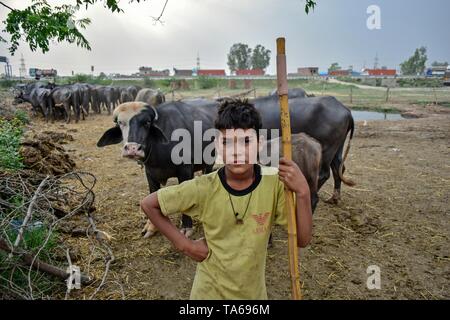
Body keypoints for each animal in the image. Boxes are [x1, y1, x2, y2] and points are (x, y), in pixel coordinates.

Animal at [97, 102, 217, 238]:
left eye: (147, 122)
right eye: (120, 123)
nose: (132, 148)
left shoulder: (185, 171)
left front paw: (187, 226)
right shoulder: (150, 174)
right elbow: (152, 194)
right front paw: (151, 227)